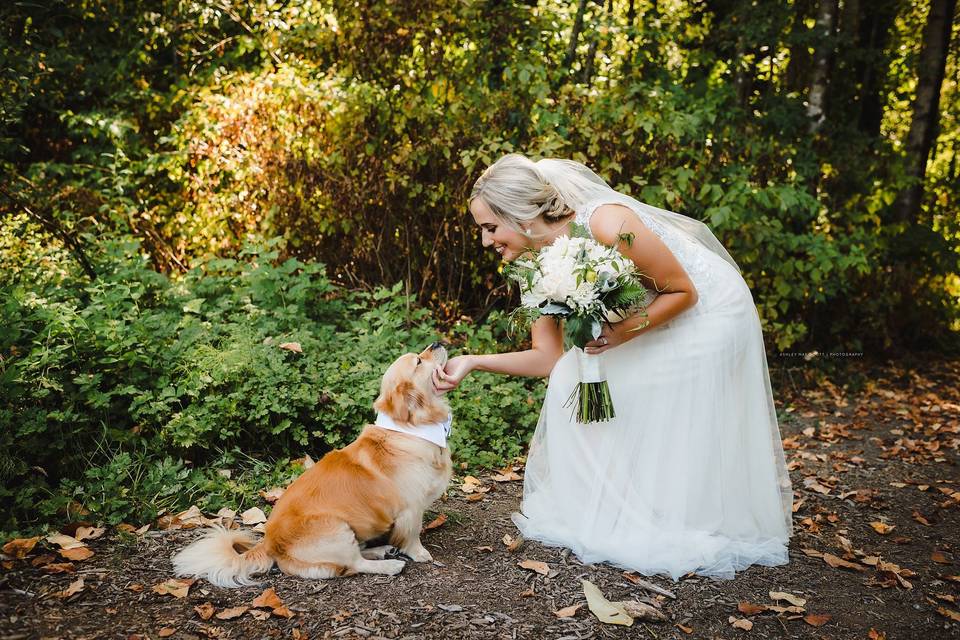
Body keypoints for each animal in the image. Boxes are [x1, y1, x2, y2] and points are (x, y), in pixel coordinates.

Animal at [172, 342, 454, 588]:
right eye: (418, 361)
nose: (436, 342)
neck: (411, 429)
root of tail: (269, 543)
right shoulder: (411, 508)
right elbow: (412, 535)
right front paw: (419, 553)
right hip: (336, 528)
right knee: (354, 564)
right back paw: (389, 564)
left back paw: (382, 550)